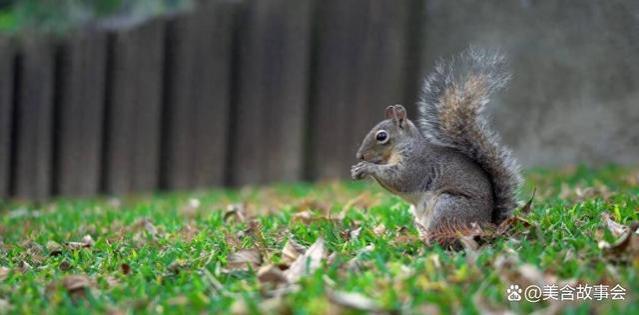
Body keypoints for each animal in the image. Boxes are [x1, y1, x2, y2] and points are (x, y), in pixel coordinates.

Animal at [352, 48, 524, 237]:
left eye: (381, 136)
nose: (360, 156)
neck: (400, 148)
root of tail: (488, 223)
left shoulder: (417, 164)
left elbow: (401, 179)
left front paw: (367, 168)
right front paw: (357, 170)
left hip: (448, 205)